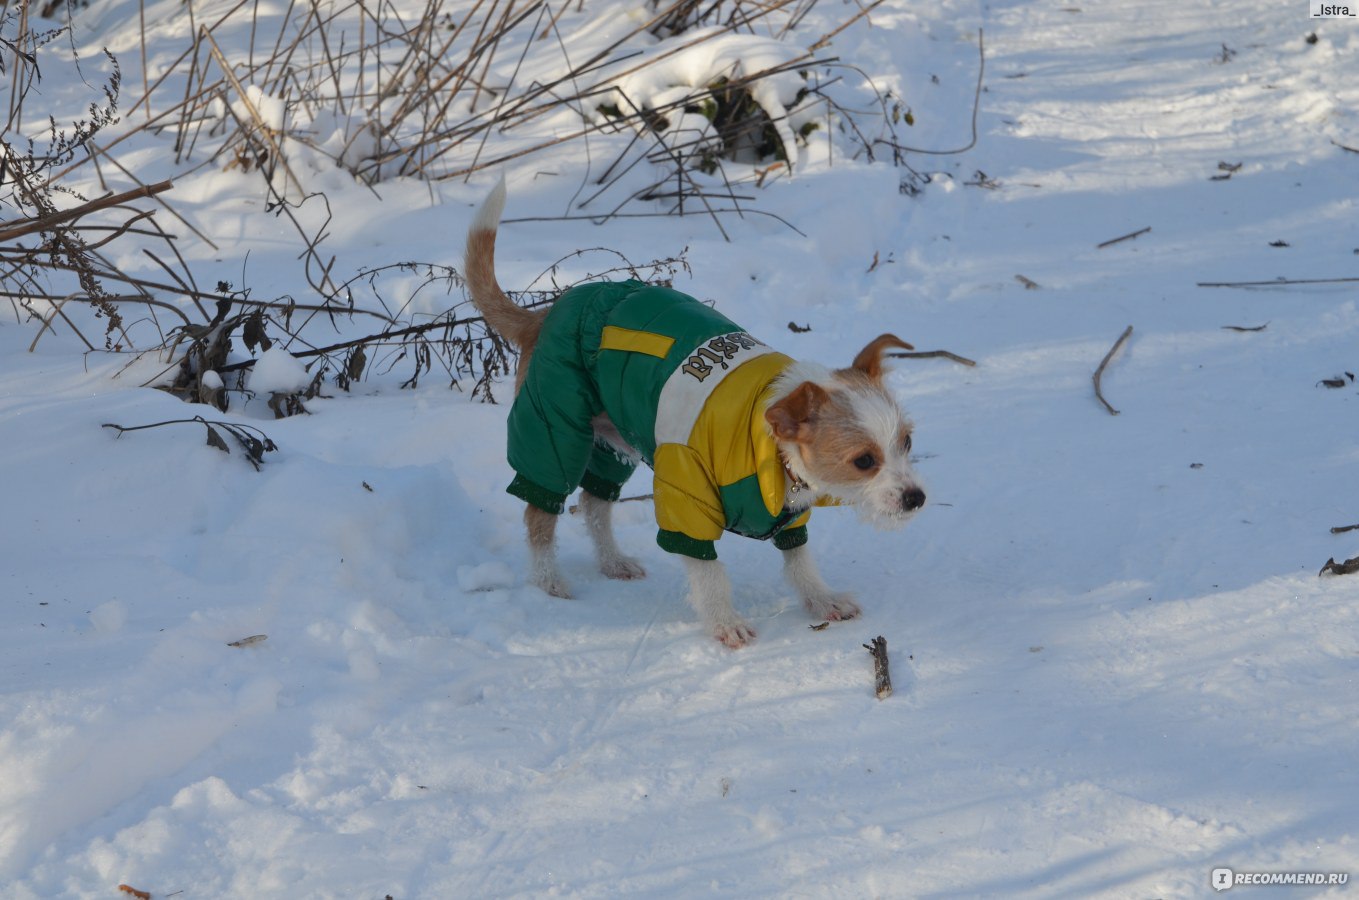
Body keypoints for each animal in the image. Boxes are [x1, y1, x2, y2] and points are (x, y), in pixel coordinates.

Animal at [464, 179, 924, 649]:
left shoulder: (790, 514)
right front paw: (724, 622)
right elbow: (708, 571)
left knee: (595, 504)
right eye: (864, 461)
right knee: (540, 511)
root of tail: (544, 314)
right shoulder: (686, 495)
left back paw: (613, 561)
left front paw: (820, 599)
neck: (767, 440)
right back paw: (547, 580)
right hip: (556, 431)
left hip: (612, 443)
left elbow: (799, 560)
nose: (916, 497)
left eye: (906, 441)